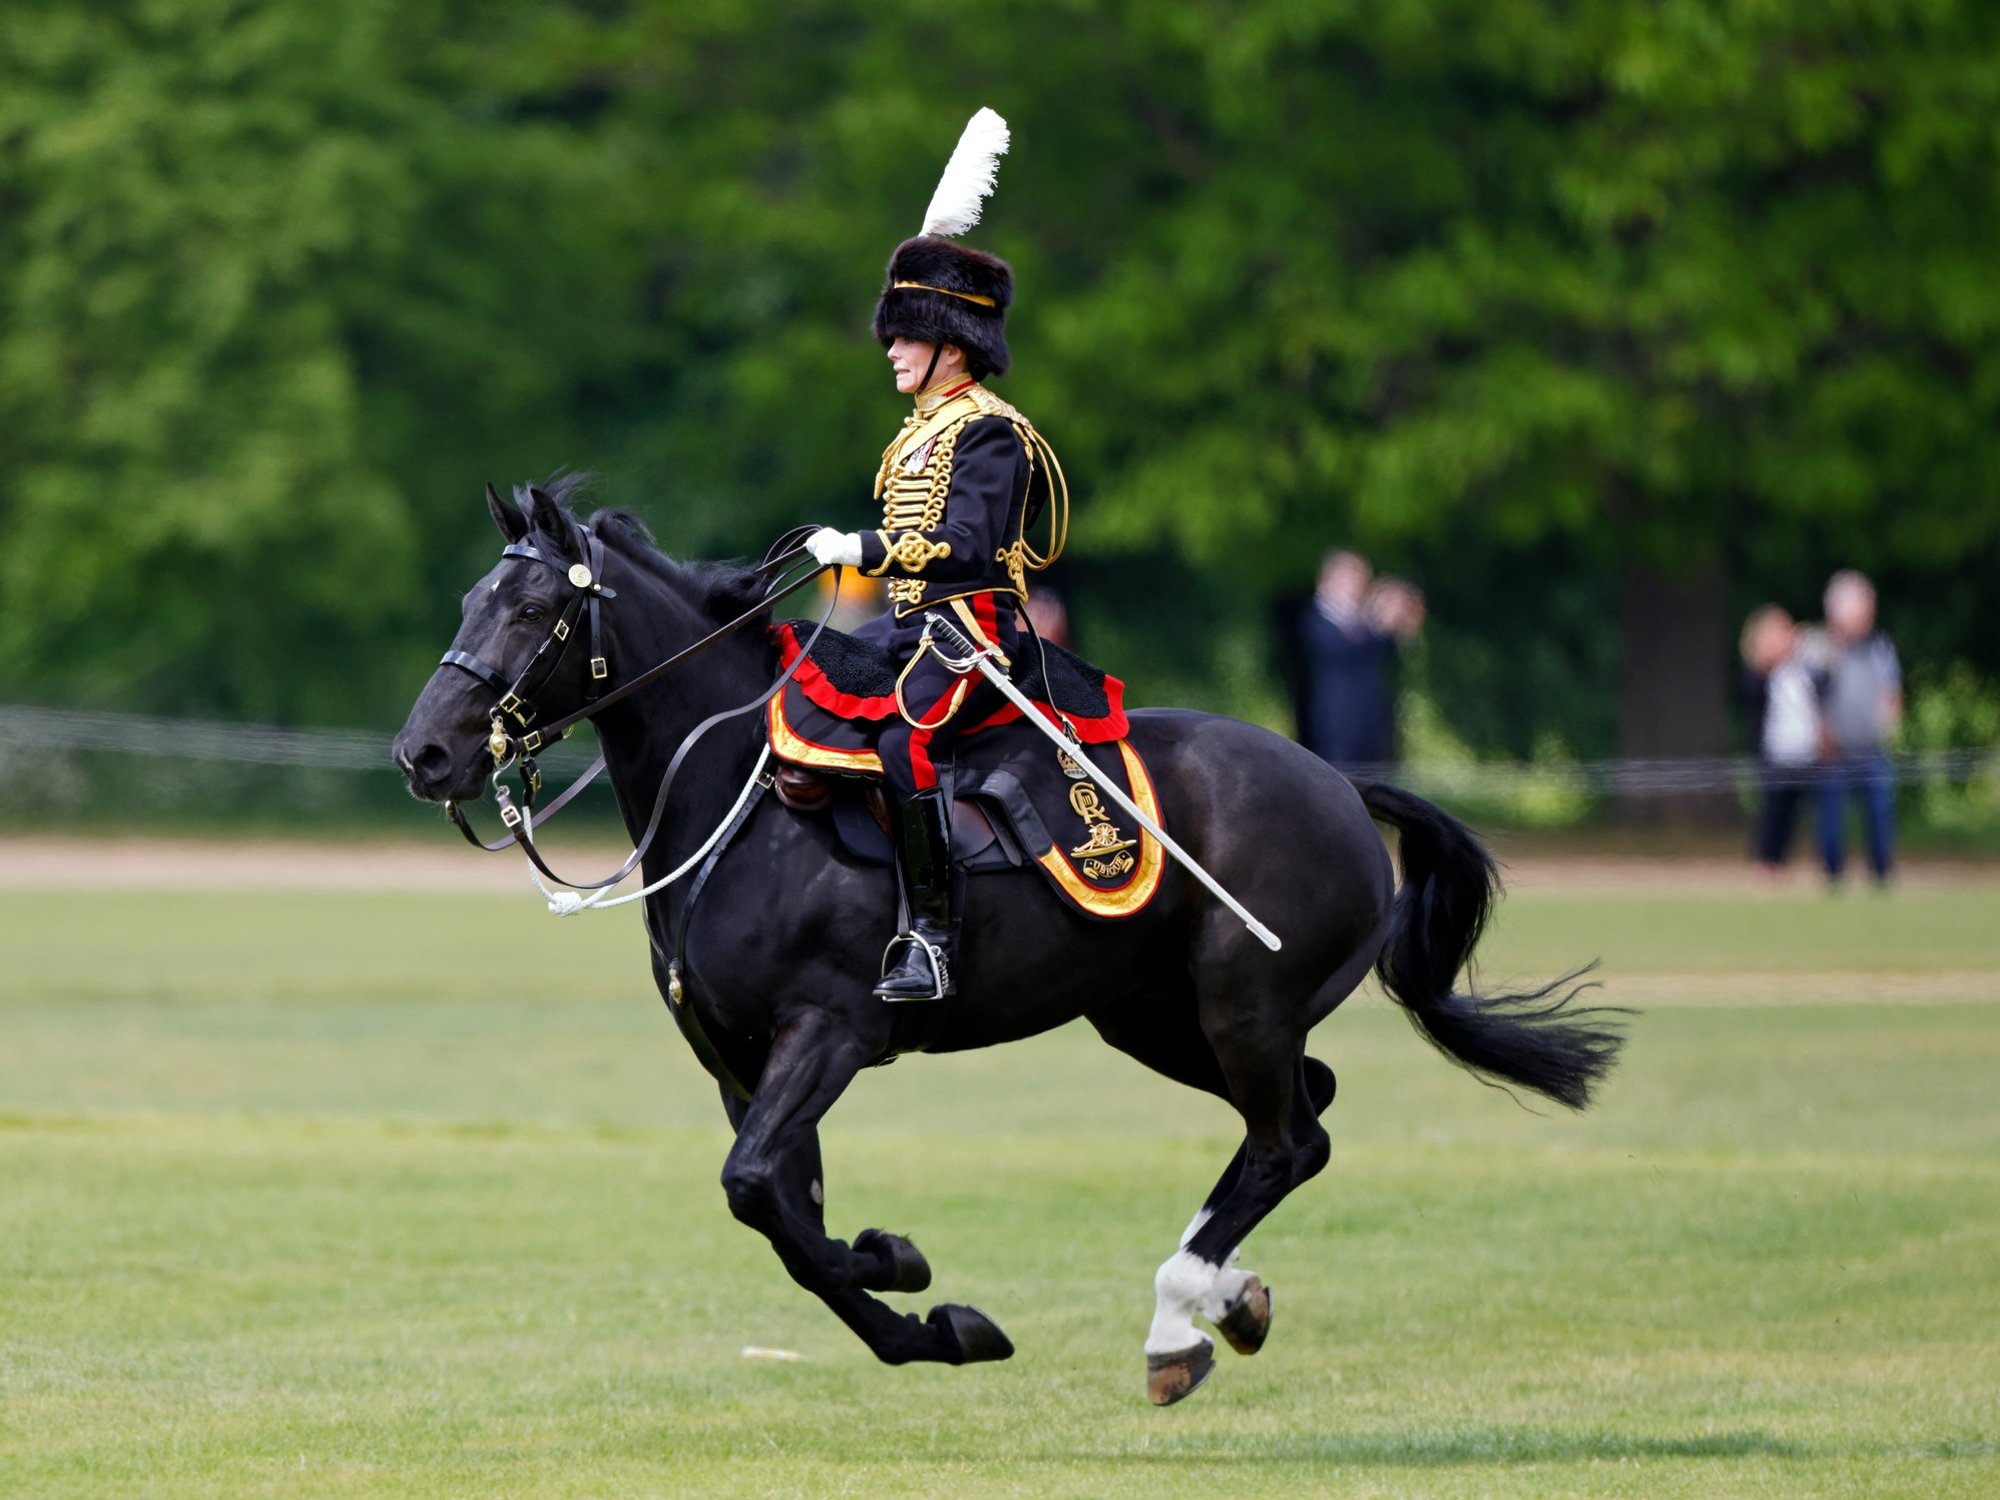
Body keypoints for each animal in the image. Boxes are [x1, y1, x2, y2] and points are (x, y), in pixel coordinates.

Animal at [391, 477, 1624, 1405]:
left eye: (532, 611)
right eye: (467, 599)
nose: (426, 754)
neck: (734, 800)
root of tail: (1332, 781)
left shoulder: (827, 1033)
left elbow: (760, 1195)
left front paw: (921, 1300)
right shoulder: (737, 1060)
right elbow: (789, 1212)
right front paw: (906, 1281)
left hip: (1241, 1006)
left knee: (1284, 1141)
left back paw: (1176, 1320)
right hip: (1150, 1019)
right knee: (1304, 1121)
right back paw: (1226, 1300)